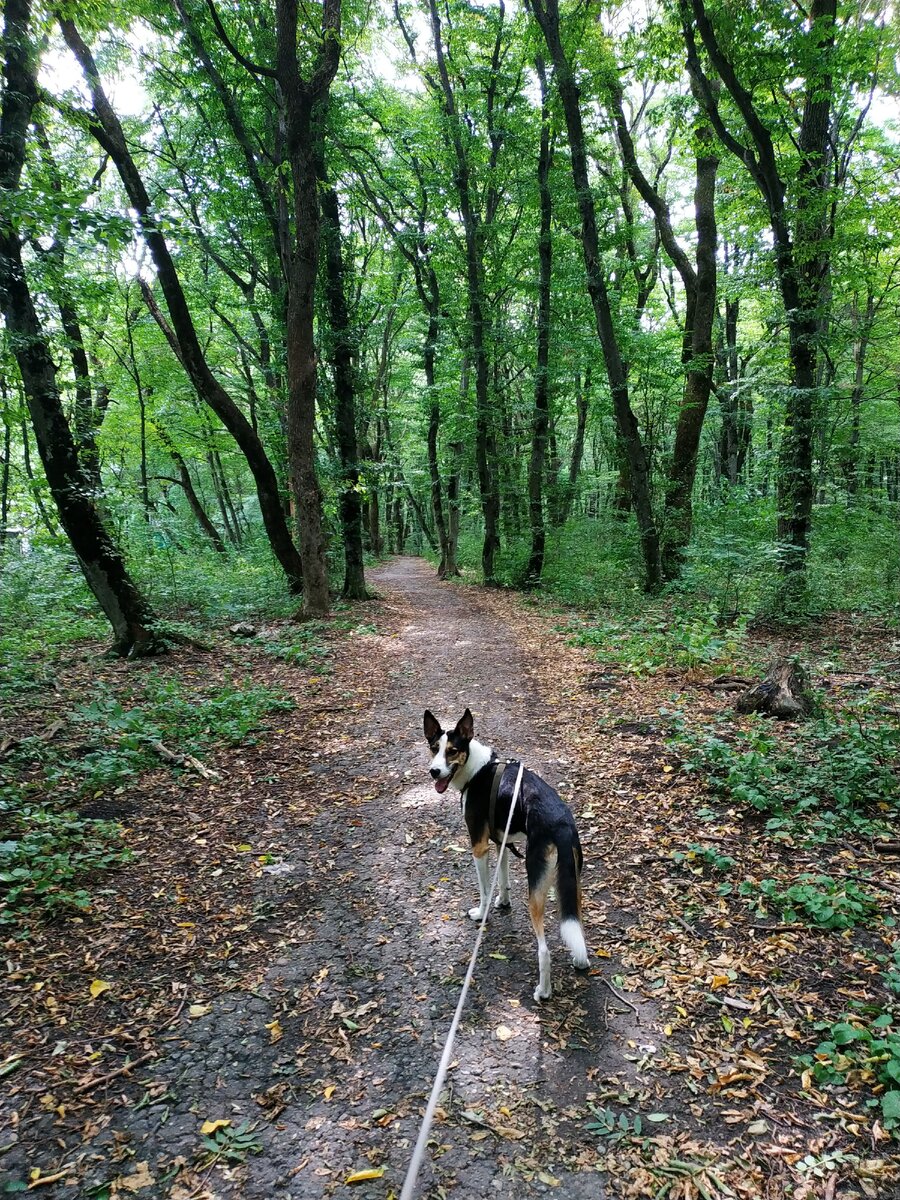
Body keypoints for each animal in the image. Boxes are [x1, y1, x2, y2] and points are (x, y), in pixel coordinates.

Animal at [424, 705, 592, 998]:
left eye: (452, 751)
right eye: (434, 748)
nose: (434, 772)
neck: (477, 770)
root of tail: (561, 823)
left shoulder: (479, 847)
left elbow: (484, 890)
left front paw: (481, 914)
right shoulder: (500, 841)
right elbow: (501, 879)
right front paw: (503, 901)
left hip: (536, 889)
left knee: (544, 951)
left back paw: (543, 991)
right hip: (573, 883)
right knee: (577, 926)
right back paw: (580, 961)